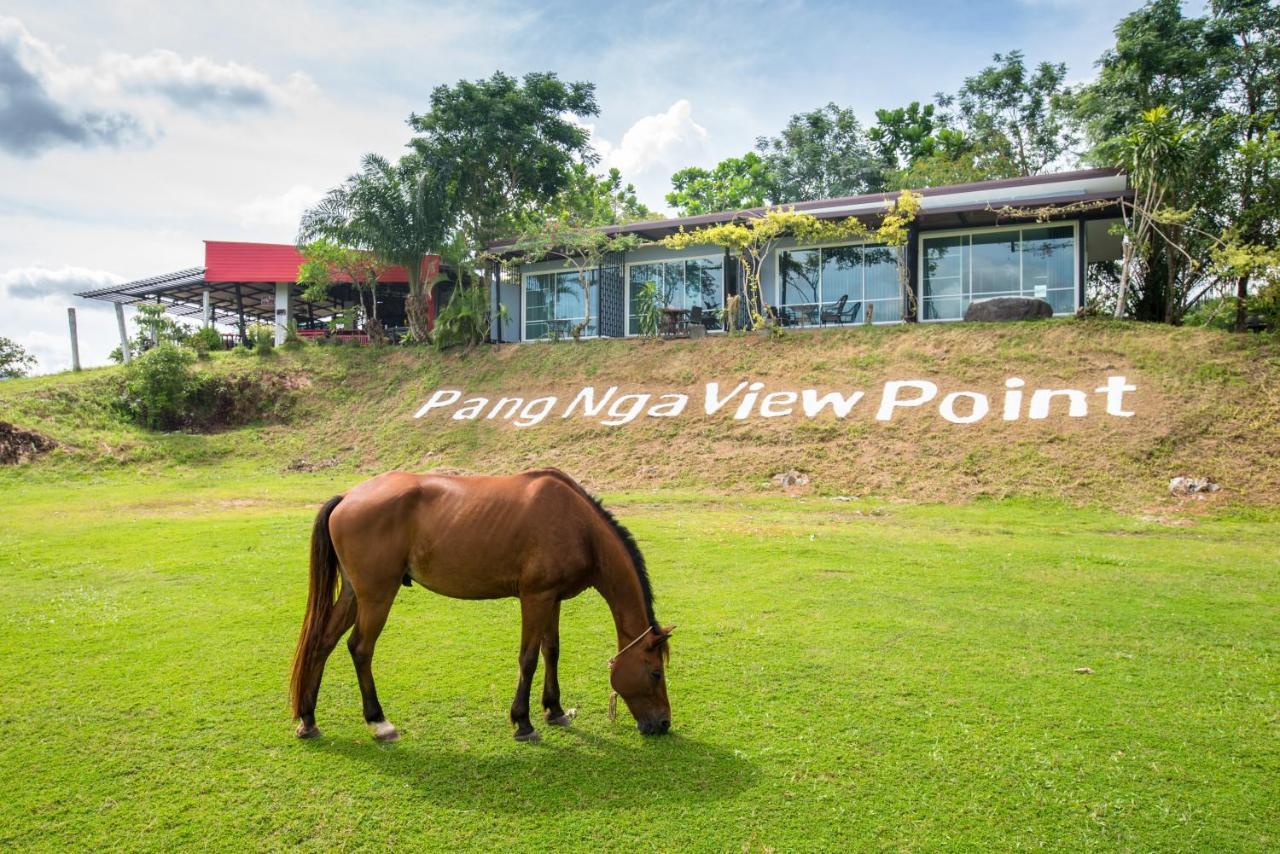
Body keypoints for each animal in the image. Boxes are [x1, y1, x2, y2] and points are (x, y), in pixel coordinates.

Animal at [286, 468, 675, 742]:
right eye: (655, 672)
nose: (663, 723)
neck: (579, 527)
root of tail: (347, 496)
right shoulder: (535, 598)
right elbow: (528, 659)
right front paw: (523, 722)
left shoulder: (552, 599)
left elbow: (551, 651)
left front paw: (555, 710)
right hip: (377, 595)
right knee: (360, 648)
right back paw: (379, 722)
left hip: (354, 594)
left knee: (323, 642)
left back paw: (308, 719)